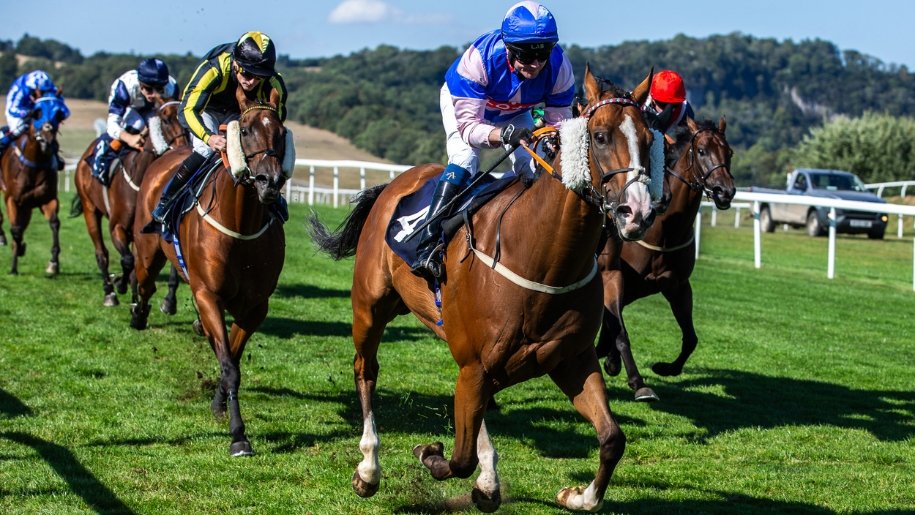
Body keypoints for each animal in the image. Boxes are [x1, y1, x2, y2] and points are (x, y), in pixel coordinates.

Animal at [0, 92, 69, 275]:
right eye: (37, 113)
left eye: (59, 114)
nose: (47, 141)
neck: (35, 164)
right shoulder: (12, 198)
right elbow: (16, 229)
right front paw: (13, 267)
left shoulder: (48, 199)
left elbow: (54, 223)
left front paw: (53, 263)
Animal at [73, 100, 188, 306]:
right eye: (166, 119)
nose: (183, 148)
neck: (140, 177)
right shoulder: (117, 227)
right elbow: (127, 260)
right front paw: (120, 283)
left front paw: (168, 300)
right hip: (90, 208)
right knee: (101, 253)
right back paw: (109, 292)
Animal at [129, 85, 289, 457]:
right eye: (244, 131)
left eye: (281, 132)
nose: (269, 182)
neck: (241, 226)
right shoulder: (208, 294)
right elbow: (229, 364)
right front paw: (238, 435)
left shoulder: (255, 305)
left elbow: (233, 355)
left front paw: (219, 403)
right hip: (148, 253)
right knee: (143, 283)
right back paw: (137, 313)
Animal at [308, 66, 659, 512]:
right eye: (599, 137)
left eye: (650, 140)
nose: (638, 212)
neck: (544, 257)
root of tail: (393, 184)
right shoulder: (477, 363)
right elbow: (458, 458)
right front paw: (429, 453)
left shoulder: (570, 359)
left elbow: (612, 437)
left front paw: (576, 495)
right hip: (370, 307)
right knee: (365, 369)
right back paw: (369, 468)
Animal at [596, 116, 735, 402]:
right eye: (701, 151)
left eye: (729, 152)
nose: (724, 191)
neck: (665, 233)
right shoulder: (622, 280)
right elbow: (616, 324)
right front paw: (616, 364)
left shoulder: (677, 286)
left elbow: (691, 338)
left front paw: (665, 368)